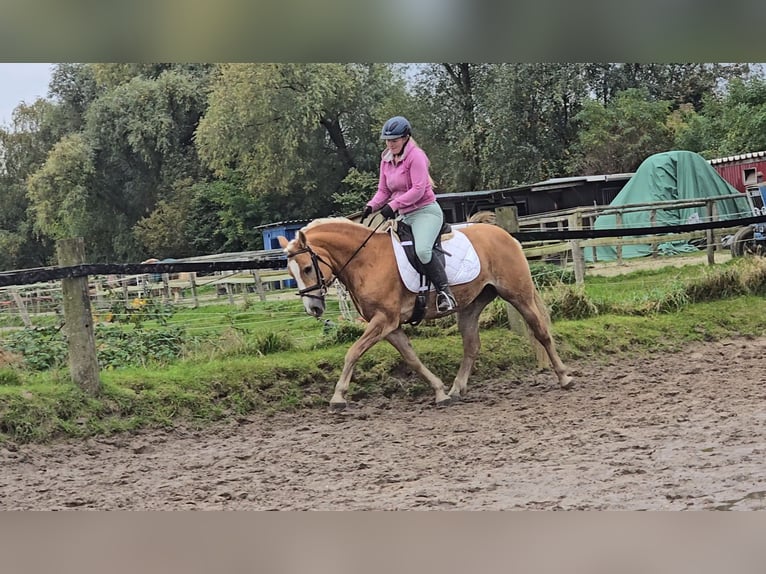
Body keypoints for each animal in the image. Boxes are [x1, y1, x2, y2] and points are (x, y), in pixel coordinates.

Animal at [280, 216, 572, 410]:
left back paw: (564, 377)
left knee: (541, 332)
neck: (366, 261)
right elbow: (412, 359)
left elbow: (352, 352)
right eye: (291, 272)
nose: (313, 308)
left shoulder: (383, 321)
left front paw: (338, 397)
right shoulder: (389, 326)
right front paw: (440, 391)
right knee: (471, 345)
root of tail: (505, 235)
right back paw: (456, 389)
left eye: (307, 268)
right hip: (471, 305)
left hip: (518, 295)